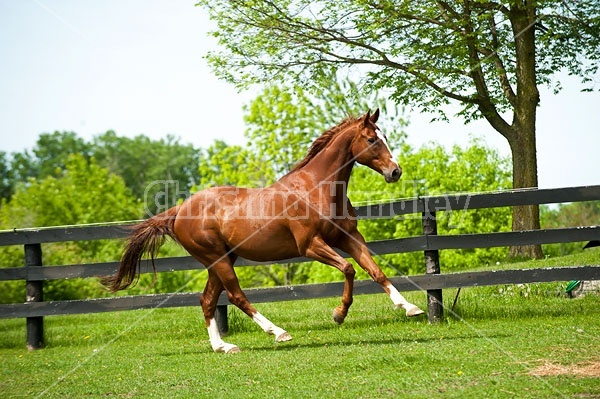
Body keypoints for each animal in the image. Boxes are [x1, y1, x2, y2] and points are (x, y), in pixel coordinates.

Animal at [102, 108, 422, 354]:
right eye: (371, 139)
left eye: (384, 137)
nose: (395, 172)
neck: (317, 188)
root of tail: (179, 210)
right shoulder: (310, 245)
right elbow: (349, 269)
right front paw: (338, 315)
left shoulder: (348, 237)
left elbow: (376, 271)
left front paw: (409, 307)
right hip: (218, 260)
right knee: (235, 296)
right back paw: (278, 332)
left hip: (221, 261)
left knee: (207, 300)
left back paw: (223, 347)